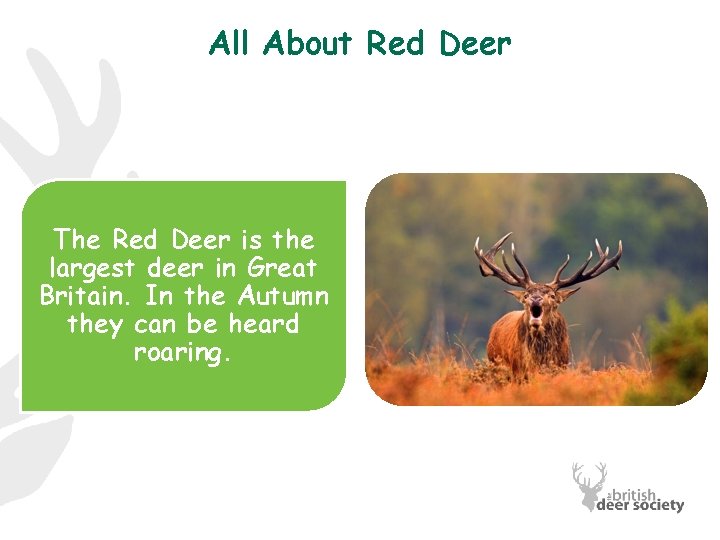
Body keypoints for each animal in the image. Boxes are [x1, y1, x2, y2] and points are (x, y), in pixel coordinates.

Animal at [474, 232, 622, 381]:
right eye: (526, 295)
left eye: (552, 295)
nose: (535, 298)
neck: (541, 359)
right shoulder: (519, 372)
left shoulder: (562, 365)